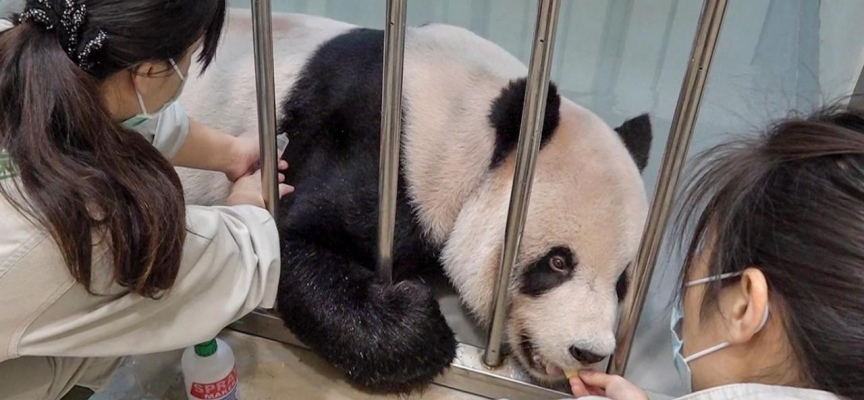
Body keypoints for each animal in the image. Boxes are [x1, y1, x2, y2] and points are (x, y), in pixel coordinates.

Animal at [178, 9, 653, 394]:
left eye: (622, 282)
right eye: (557, 262)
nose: (590, 351)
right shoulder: (376, 149)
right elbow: (286, 240)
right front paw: (420, 320)